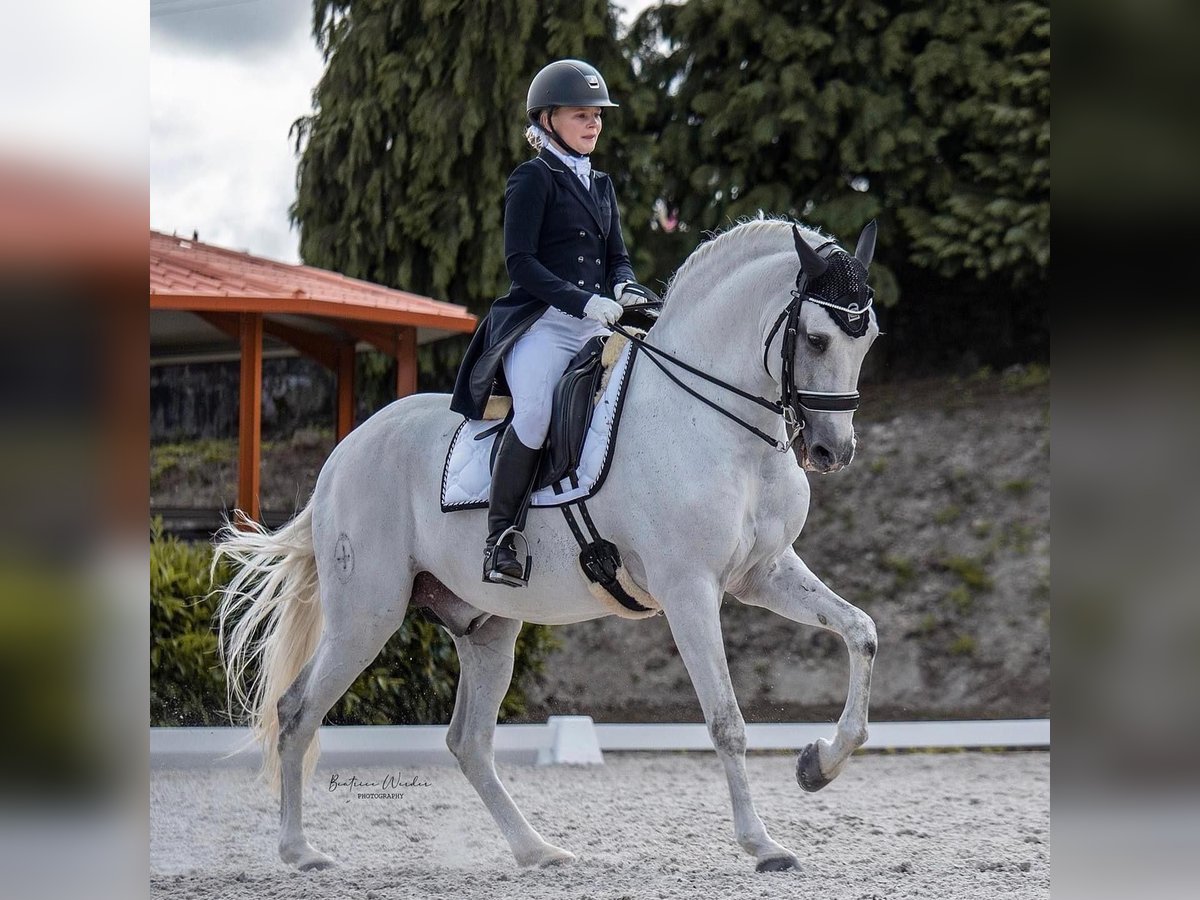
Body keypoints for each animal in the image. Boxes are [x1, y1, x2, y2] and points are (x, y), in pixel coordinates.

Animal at [216, 217, 883, 873]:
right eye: (816, 339)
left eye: (869, 337)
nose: (832, 452)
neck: (720, 426)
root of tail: (345, 451)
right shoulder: (689, 590)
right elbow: (727, 720)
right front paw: (762, 845)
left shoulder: (763, 573)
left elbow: (861, 631)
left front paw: (818, 765)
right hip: (366, 615)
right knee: (297, 711)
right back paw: (300, 852)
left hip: (486, 626)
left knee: (467, 741)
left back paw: (535, 850)